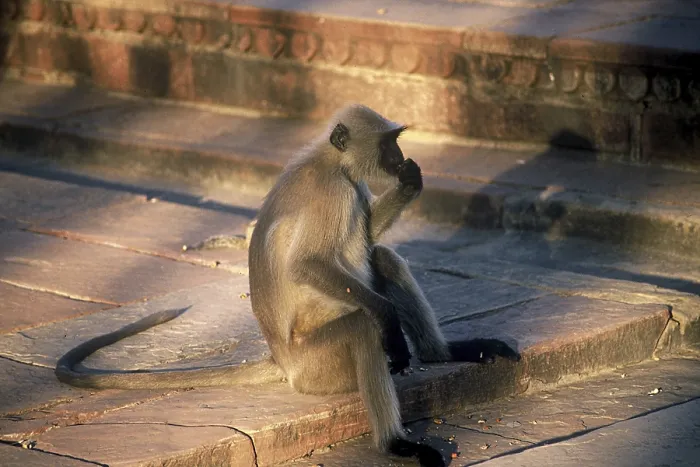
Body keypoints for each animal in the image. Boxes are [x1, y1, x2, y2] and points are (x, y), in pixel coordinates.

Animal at [54, 104, 519, 467]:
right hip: (317, 363)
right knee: (363, 325)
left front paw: (410, 182)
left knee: (384, 258)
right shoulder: (334, 192)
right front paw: (390, 327)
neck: (332, 163)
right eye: (389, 143)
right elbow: (306, 265)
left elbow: (367, 238)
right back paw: (393, 444)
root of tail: (282, 359)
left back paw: (440, 354)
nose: (400, 156)